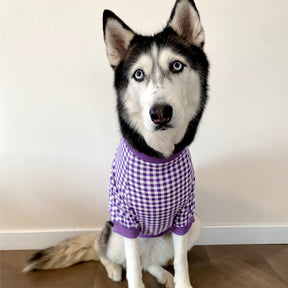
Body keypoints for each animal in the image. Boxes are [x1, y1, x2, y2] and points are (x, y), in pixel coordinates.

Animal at [24, 0, 209, 288]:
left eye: (177, 66)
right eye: (138, 74)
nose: (160, 113)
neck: (157, 155)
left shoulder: (184, 215)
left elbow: (181, 262)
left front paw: (181, 282)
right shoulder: (126, 219)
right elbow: (132, 268)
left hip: (195, 224)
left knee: (148, 262)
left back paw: (163, 274)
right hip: (114, 234)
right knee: (107, 252)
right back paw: (112, 268)